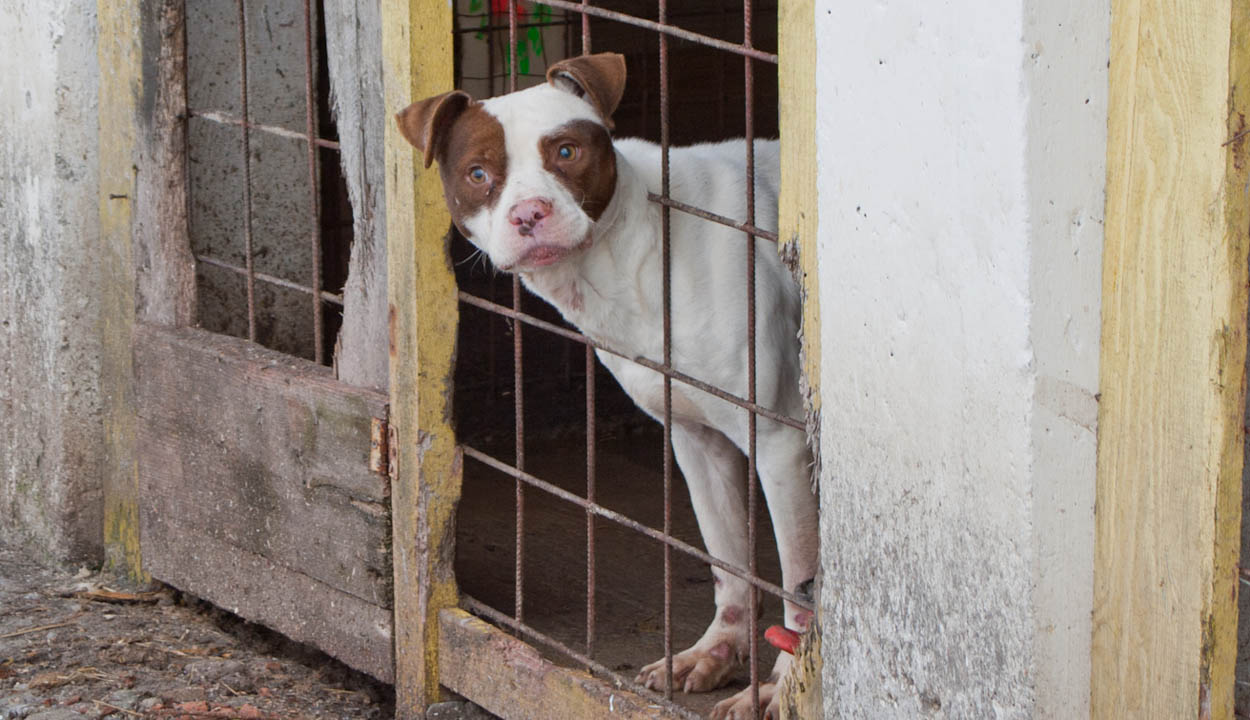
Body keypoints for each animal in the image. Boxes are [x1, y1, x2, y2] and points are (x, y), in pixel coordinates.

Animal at [397, 51, 820, 720]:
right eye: (478, 173)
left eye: (566, 152)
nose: (528, 214)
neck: (630, 258)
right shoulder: (696, 438)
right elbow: (729, 562)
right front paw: (716, 653)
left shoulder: (781, 441)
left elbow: (798, 585)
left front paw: (782, 689)